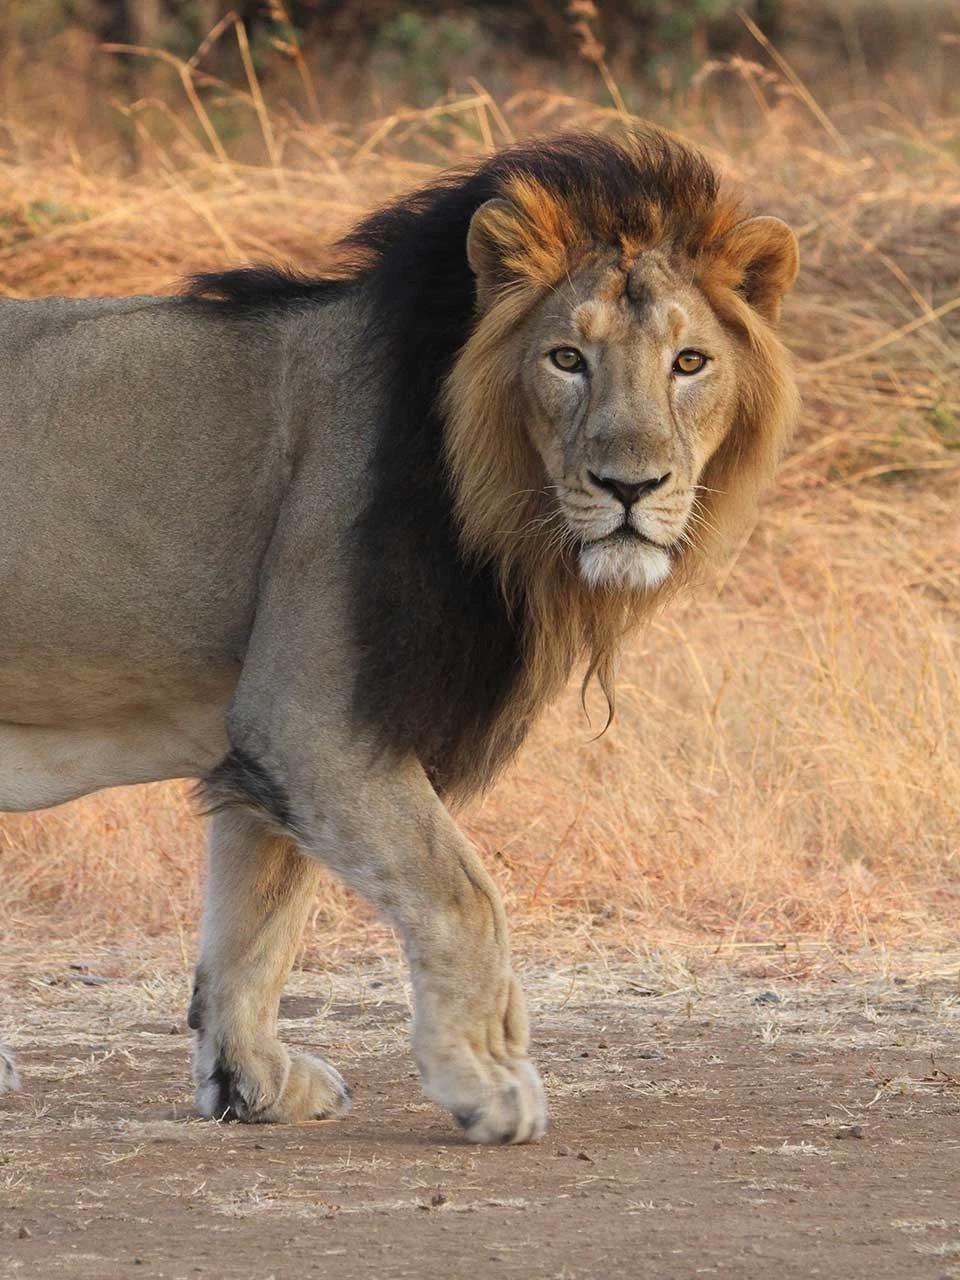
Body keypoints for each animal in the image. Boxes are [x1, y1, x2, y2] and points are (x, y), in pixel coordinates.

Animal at [0, 129, 798, 1142]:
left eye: (689, 363)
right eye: (567, 358)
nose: (630, 486)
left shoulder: (272, 733)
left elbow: (259, 917)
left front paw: (252, 1082)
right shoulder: (312, 719)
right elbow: (462, 894)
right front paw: (487, 1080)